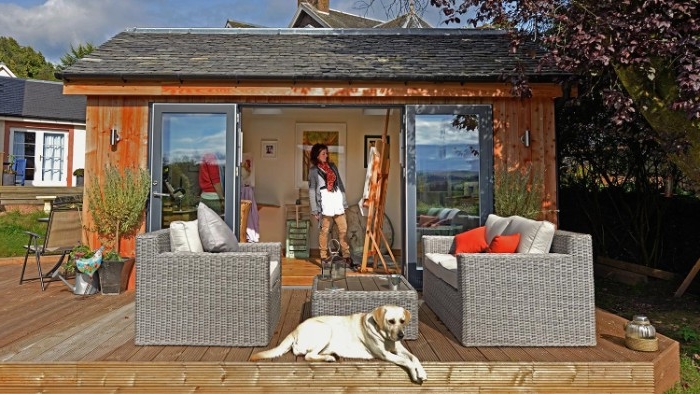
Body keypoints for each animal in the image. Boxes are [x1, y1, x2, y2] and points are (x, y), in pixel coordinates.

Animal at [252, 304, 426, 384]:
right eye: (391, 321)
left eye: (402, 321)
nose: (401, 335)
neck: (386, 337)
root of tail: (295, 329)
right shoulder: (384, 354)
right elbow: (407, 361)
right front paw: (414, 374)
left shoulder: (399, 349)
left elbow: (414, 358)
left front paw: (422, 372)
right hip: (326, 329)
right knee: (308, 356)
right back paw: (329, 358)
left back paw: (330, 354)